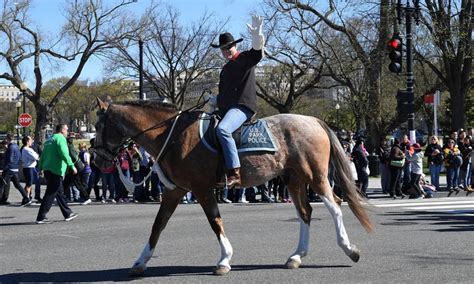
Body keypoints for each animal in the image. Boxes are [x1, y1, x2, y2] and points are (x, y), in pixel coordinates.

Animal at [93, 98, 374, 278]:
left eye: (98, 126)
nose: (97, 161)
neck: (172, 135)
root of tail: (314, 120)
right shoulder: (175, 191)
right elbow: (157, 225)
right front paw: (140, 261)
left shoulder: (201, 189)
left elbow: (215, 222)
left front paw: (224, 259)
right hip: (294, 180)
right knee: (306, 212)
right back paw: (296, 256)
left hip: (316, 176)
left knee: (334, 206)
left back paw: (350, 249)